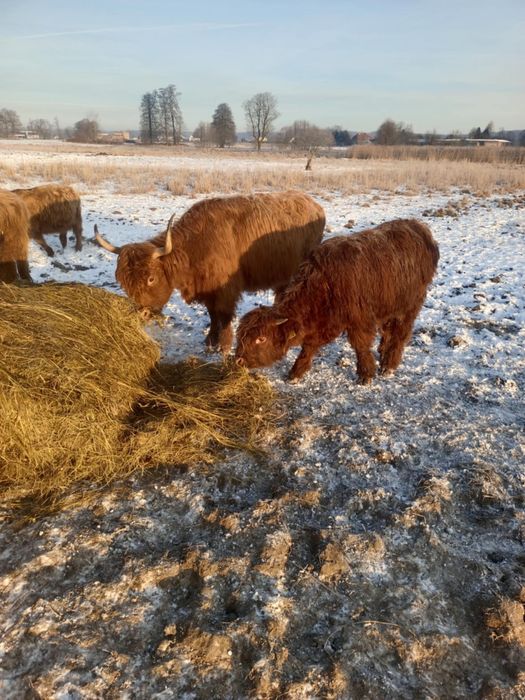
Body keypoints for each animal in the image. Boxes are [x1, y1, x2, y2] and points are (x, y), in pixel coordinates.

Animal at [95, 191, 326, 353]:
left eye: (151, 279)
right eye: (123, 282)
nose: (142, 313)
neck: (197, 245)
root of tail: (314, 205)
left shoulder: (226, 290)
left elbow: (224, 315)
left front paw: (224, 346)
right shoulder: (208, 289)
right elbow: (212, 315)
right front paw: (210, 341)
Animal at [235, 219, 439, 383]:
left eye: (261, 339)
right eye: (240, 335)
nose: (238, 360)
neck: (324, 284)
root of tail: (419, 227)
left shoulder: (359, 320)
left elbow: (361, 346)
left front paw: (366, 374)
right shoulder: (322, 324)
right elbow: (308, 347)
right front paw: (296, 373)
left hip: (411, 304)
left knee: (401, 333)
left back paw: (389, 364)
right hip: (389, 302)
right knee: (388, 328)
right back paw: (382, 350)